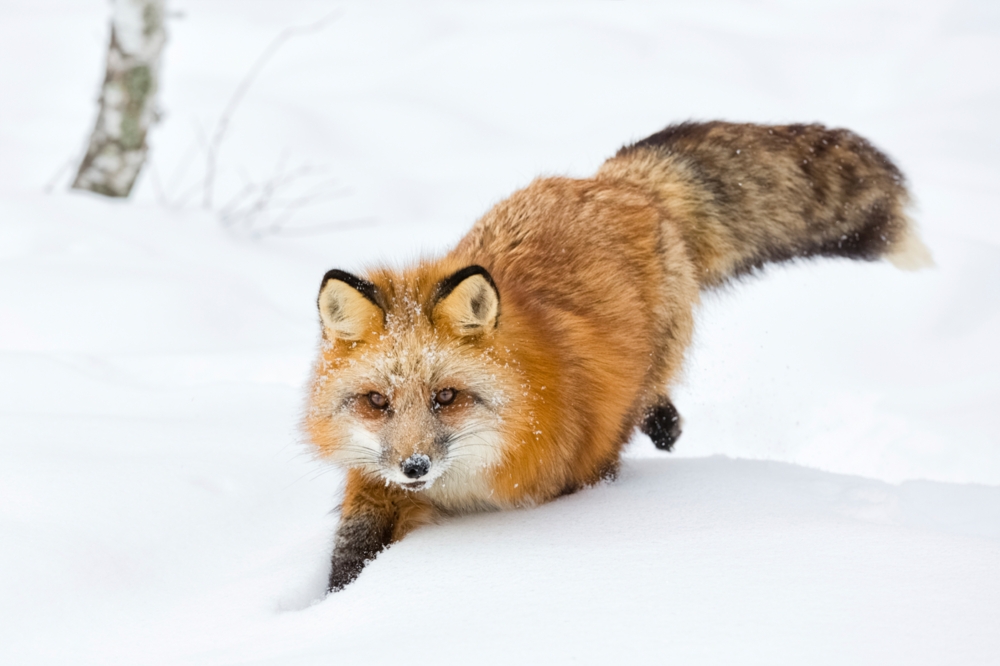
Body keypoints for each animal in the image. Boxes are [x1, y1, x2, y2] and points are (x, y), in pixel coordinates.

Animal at [305, 121, 931, 592]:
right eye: (377, 401)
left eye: (447, 396)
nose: (414, 467)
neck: (463, 484)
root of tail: (618, 182)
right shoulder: (375, 482)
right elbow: (351, 553)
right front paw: (337, 603)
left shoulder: (563, 478)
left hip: (642, 378)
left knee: (647, 395)